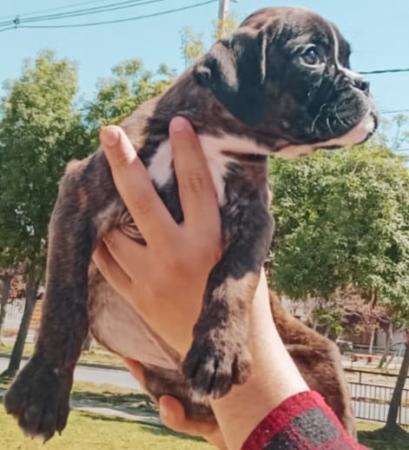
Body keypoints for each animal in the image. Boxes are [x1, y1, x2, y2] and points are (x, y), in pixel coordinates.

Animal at [4, 7, 374, 442]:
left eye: (346, 59)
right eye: (312, 56)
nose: (364, 83)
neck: (213, 137)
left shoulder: (255, 219)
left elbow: (232, 280)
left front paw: (220, 351)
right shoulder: (80, 194)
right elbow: (65, 300)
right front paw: (43, 391)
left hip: (323, 362)